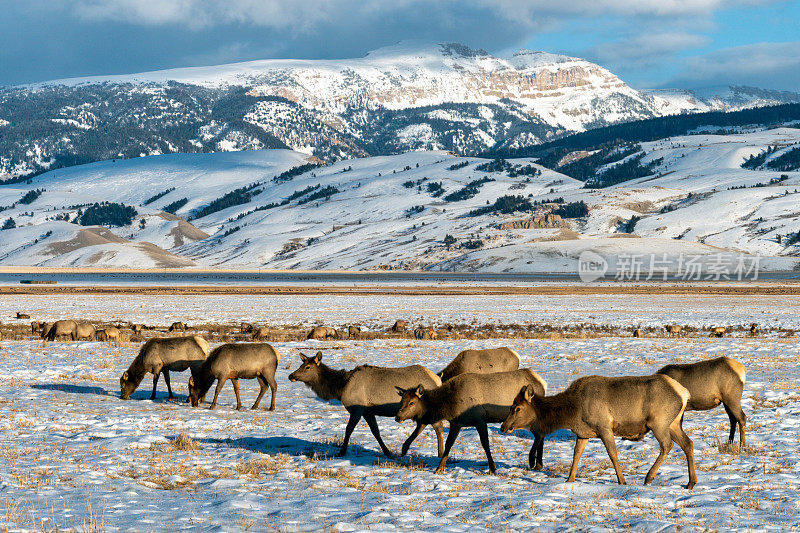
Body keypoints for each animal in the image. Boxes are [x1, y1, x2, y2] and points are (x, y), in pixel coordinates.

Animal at [288, 352, 444, 460]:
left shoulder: (357, 408)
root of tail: (438, 379)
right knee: (425, 424)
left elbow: (348, 429)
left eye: (307, 367)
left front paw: (341, 452)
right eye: (300, 365)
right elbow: (376, 432)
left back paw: (439, 453)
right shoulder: (368, 411)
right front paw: (387, 452)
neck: (340, 387)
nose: (291, 376)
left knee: (437, 426)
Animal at [396, 368, 548, 472]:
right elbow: (449, 444)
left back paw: (536, 463)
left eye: (412, 403)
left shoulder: (479, 419)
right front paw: (439, 469)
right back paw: (538, 464)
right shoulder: (456, 423)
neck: (450, 405)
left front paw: (493, 468)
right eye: (402, 400)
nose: (398, 417)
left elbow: (485, 444)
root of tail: (542, 382)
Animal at [504, 372, 696, 488]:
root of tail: (684, 392)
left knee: (667, 445)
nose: (503, 426)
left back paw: (648, 477)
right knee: (688, 443)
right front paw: (569, 479)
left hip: (659, 422)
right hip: (673, 423)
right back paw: (690, 483)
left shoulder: (604, 426)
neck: (573, 412)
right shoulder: (583, 433)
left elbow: (612, 453)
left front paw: (622, 481)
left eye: (517, 408)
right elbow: (576, 454)